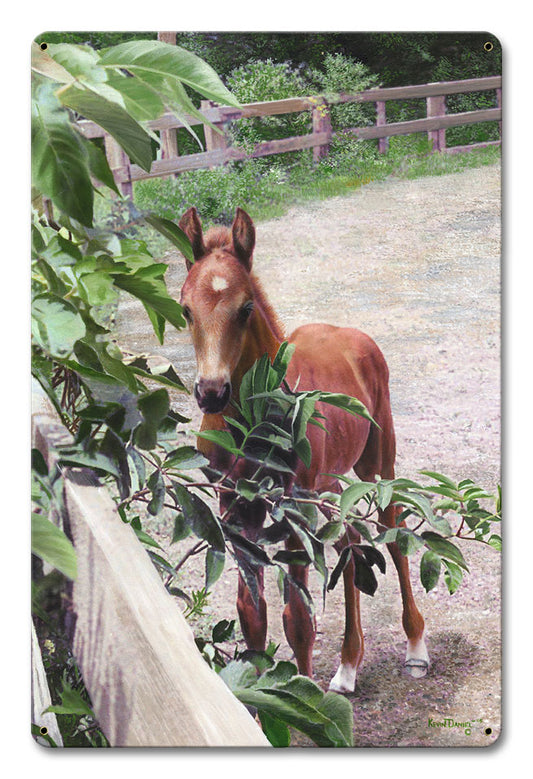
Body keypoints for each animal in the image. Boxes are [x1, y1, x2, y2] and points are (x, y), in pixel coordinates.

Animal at [178, 206, 429, 693]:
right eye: (185, 309)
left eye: (246, 308)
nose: (212, 393)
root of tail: (354, 335)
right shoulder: (234, 506)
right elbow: (251, 613)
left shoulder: (290, 507)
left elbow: (297, 619)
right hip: (329, 486)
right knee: (350, 541)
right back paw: (347, 668)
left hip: (376, 464)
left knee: (393, 530)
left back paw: (415, 648)